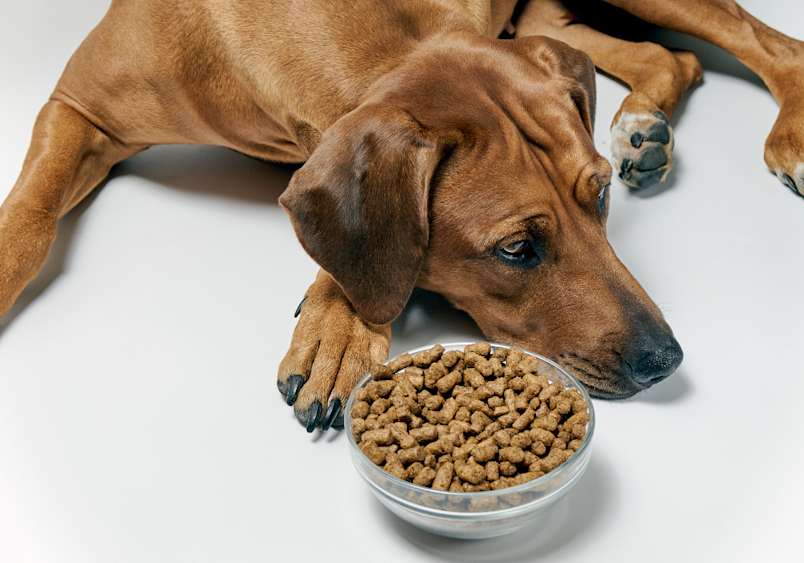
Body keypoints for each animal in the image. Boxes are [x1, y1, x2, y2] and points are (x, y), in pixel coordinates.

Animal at [0, 1, 800, 432]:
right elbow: (29, 222)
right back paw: (642, 124)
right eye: (517, 249)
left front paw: (338, 323)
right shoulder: (78, 107)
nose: (666, 359)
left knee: (763, 41)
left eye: (598, 197)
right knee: (670, 56)